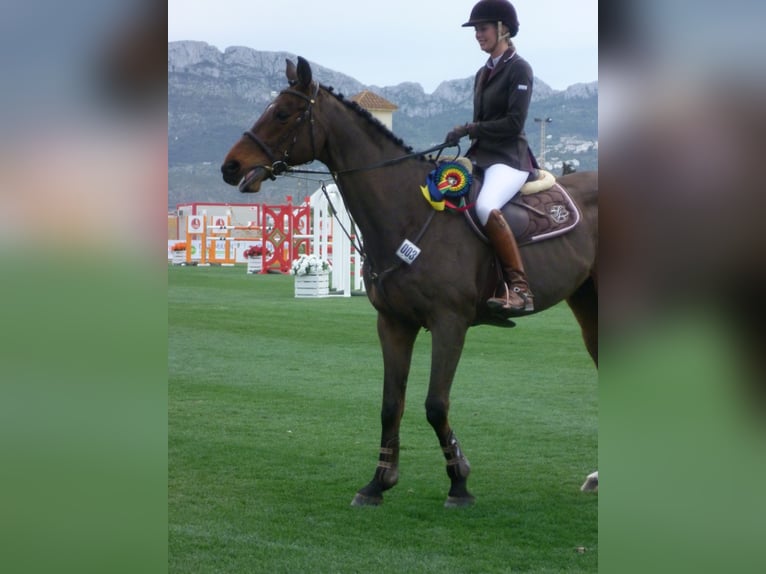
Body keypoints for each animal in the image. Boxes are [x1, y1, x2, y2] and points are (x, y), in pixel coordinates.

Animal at [222, 57, 600, 508]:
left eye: (282, 114)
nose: (230, 166)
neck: (407, 212)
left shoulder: (449, 323)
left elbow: (435, 404)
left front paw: (459, 481)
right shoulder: (393, 323)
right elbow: (391, 404)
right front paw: (378, 483)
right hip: (587, 301)